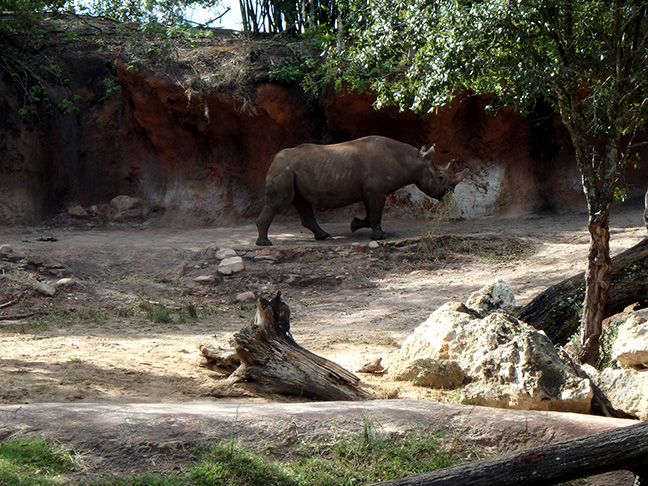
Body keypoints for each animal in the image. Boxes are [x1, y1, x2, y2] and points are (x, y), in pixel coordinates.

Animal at [255, 135, 469, 246]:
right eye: (441, 178)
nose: (448, 194)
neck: (412, 161)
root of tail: (274, 158)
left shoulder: (371, 191)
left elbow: (369, 213)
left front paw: (354, 225)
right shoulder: (377, 191)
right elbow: (375, 214)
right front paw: (381, 236)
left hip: (291, 170)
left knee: (301, 201)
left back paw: (323, 236)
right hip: (283, 169)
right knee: (280, 202)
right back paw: (264, 243)